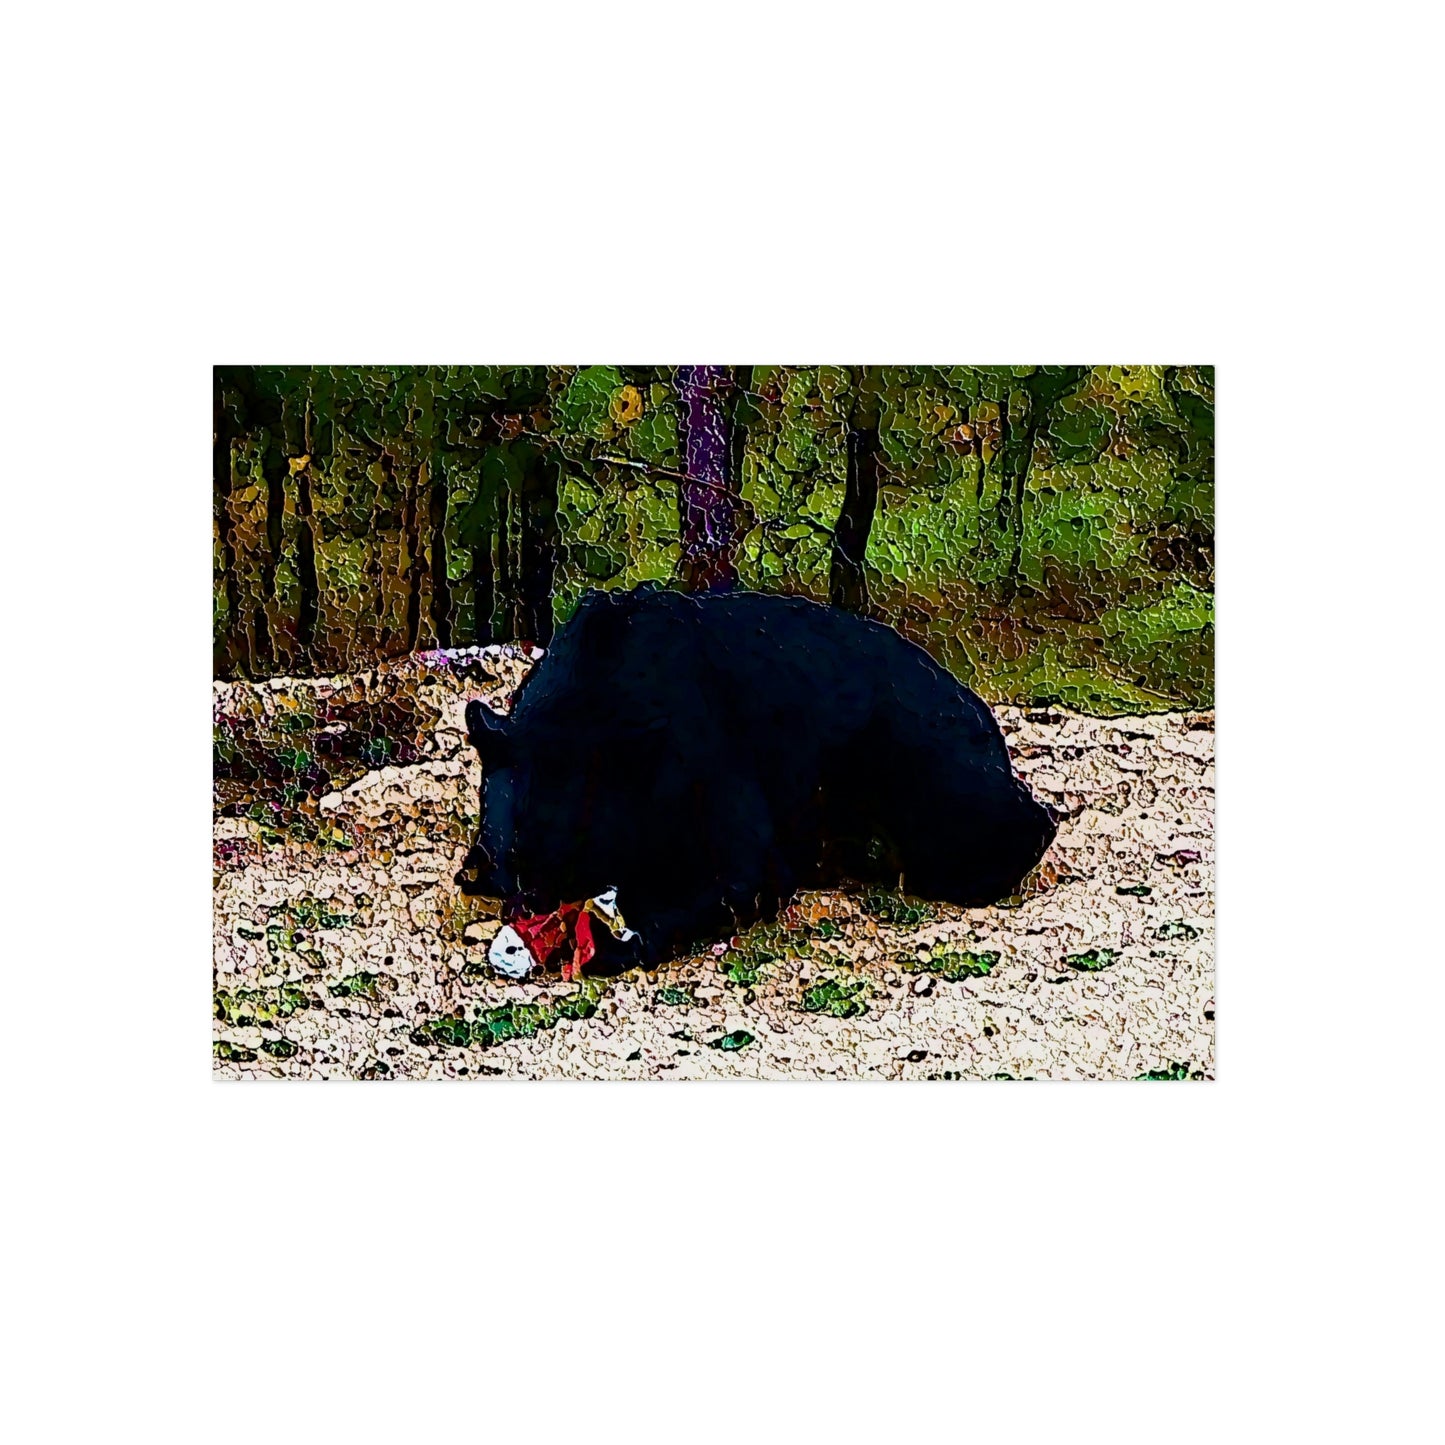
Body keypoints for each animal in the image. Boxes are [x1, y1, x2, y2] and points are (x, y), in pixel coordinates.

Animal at [455, 585, 1056, 971]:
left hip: (915, 758)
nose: (529, 911)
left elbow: (737, 876)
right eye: (515, 861)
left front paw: (618, 941)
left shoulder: (706, 755)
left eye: (575, 863)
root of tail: (978, 705)